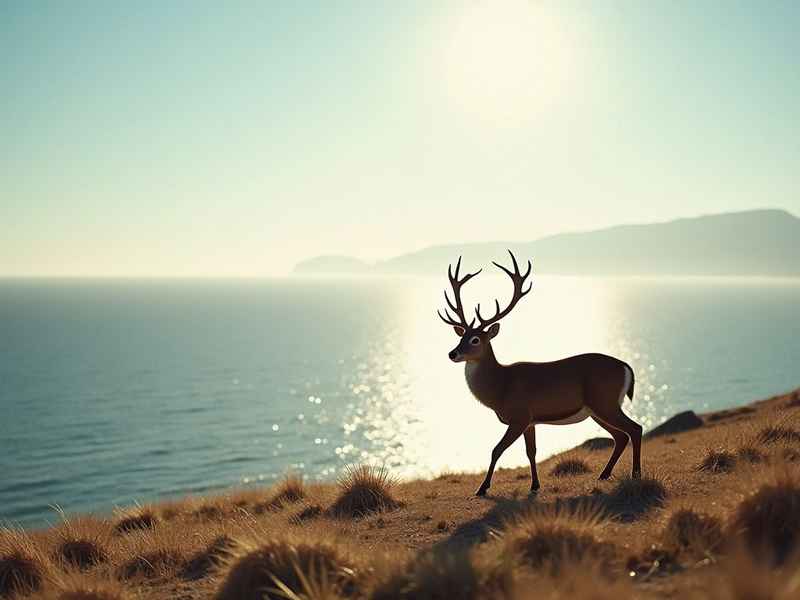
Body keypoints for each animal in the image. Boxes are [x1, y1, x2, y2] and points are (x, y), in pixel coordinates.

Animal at [438, 251, 642, 496]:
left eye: (475, 339)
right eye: (461, 336)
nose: (452, 353)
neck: (500, 388)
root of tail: (626, 367)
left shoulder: (520, 415)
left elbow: (496, 449)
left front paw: (482, 488)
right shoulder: (531, 422)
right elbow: (531, 452)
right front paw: (535, 485)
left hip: (605, 401)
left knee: (635, 428)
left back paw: (636, 474)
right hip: (597, 409)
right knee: (620, 436)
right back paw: (604, 474)